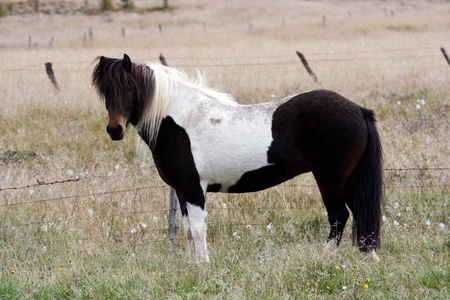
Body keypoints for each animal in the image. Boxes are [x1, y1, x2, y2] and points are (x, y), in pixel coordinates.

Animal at [91, 55, 384, 264]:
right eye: (105, 92)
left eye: (130, 89)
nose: (115, 130)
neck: (178, 120)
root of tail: (357, 109)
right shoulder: (181, 191)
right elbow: (187, 231)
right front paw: (192, 266)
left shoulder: (193, 189)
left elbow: (198, 229)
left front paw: (204, 267)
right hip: (349, 179)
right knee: (360, 214)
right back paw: (368, 258)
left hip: (330, 179)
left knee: (339, 216)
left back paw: (324, 258)